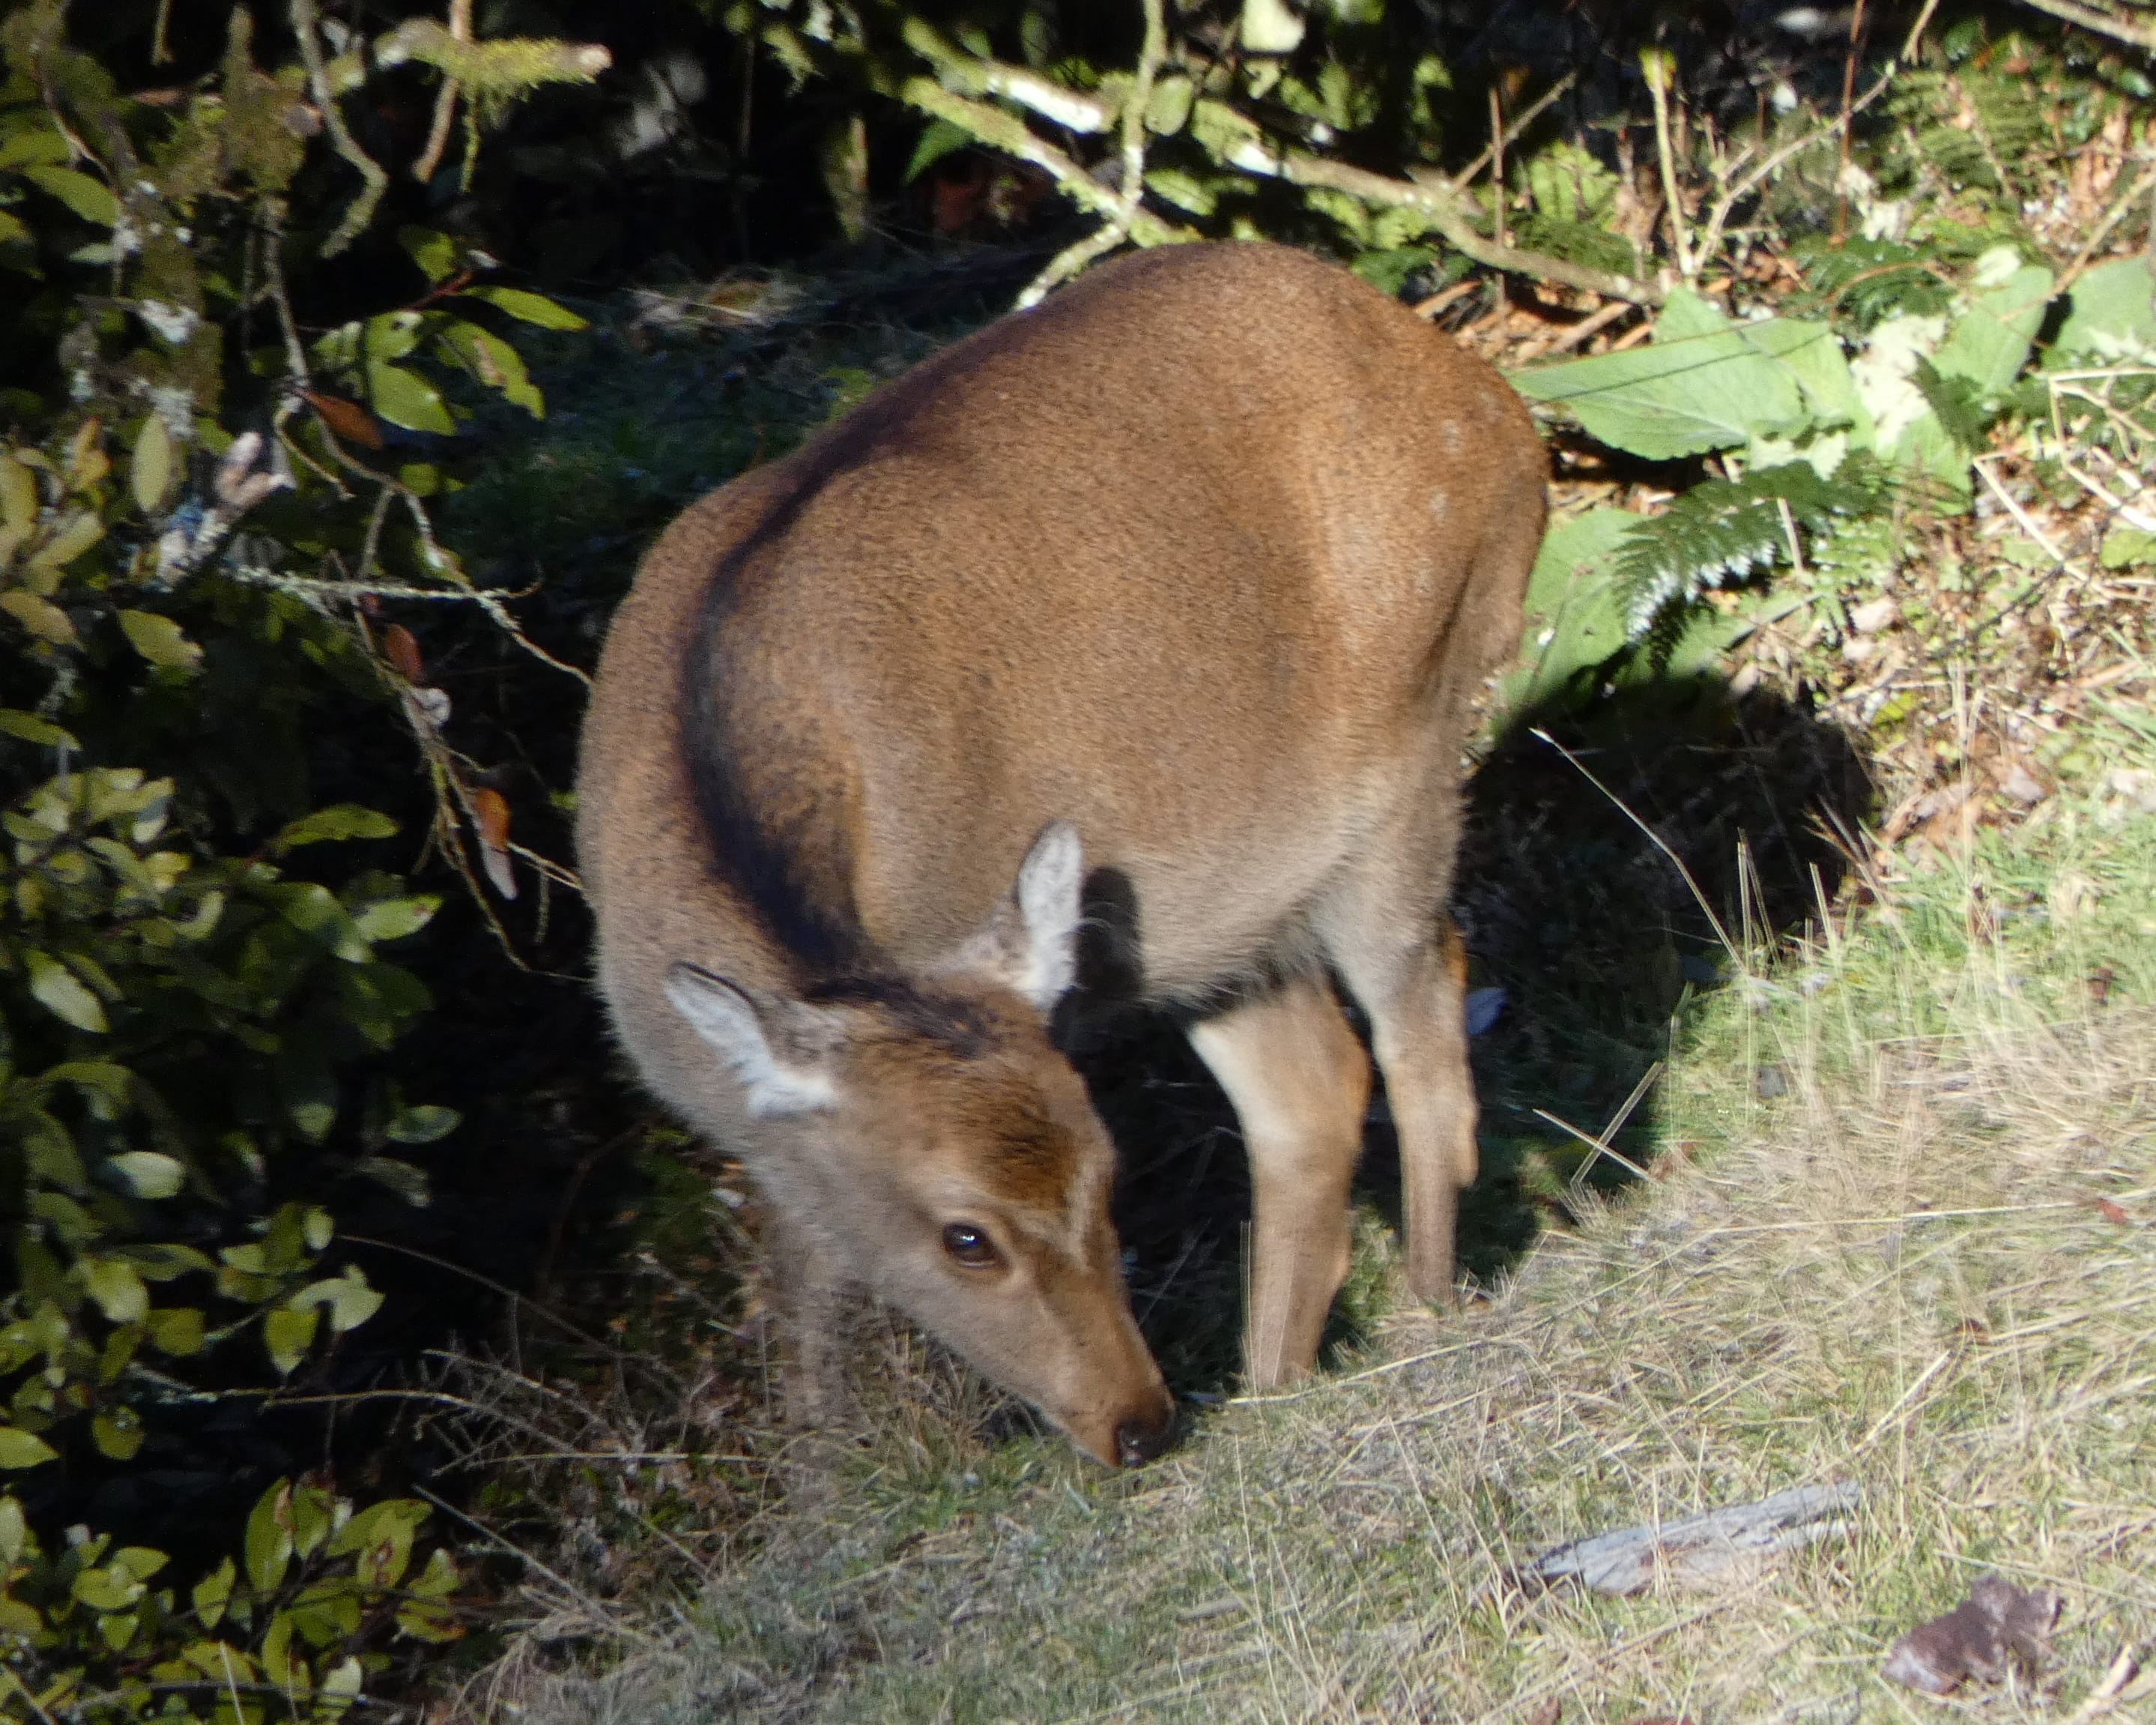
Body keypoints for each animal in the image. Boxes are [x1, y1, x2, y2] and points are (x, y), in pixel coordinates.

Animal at [573, 242, 1552, 1466]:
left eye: (1108, 1168)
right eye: (965, 1236)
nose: (1138, 1422)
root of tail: (1503, 409)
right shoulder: (767, 1137)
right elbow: (809, 1292)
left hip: (1415, 743)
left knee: (1425, 1025)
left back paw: (1427, 1308)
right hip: (1215, 924)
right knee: (1314, 1092)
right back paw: (1274, 1385)